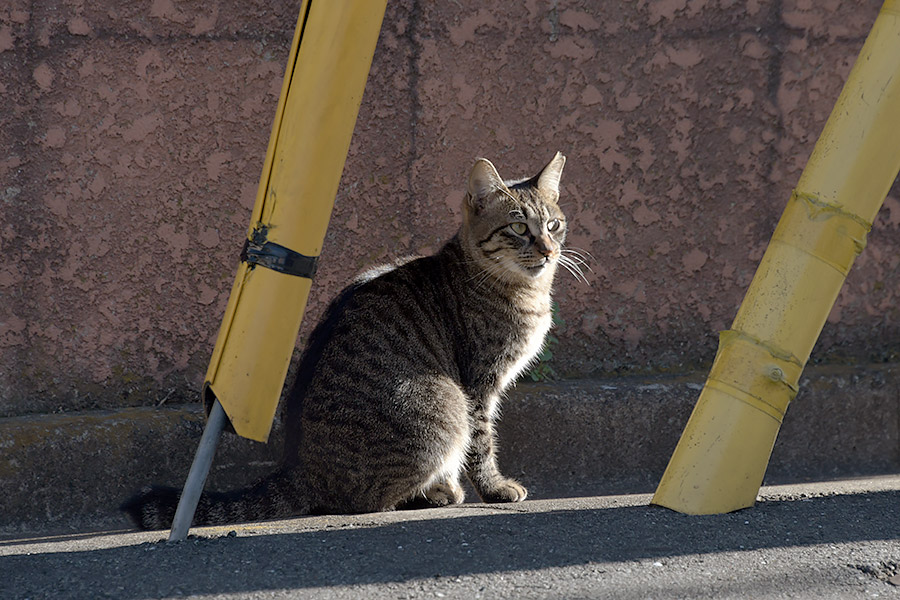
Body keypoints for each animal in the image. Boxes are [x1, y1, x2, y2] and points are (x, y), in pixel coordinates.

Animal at [125, 151, 576, 528]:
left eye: (554, 225)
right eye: (518, 227)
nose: (549, 250)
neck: (523, 290)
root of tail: (300, 468)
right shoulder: (479, 385)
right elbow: (482, 445)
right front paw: (496, 488)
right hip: (445, 405)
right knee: (366, 500)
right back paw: (437, 493)